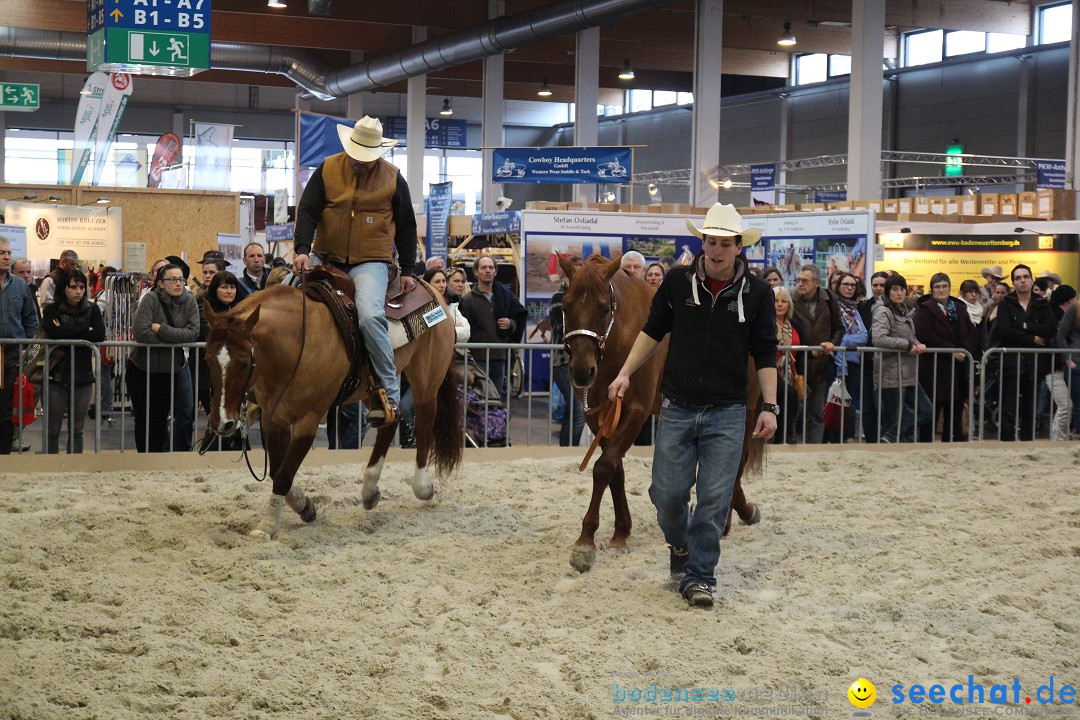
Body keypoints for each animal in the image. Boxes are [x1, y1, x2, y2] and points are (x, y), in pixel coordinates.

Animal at [204, 284, 462, 537]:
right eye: (207, 358)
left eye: (244, 362)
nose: (223, 422)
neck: (297, 344)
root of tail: (432, 289)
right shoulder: (273, 418)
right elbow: (278, 471)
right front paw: (305, 506)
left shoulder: (309, 421)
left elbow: (284, 475)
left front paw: (267, 525)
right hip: (371, 391)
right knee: (389, 424)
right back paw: (370, 489)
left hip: (426, 379)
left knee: (425, 423)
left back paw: (423, 488)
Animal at [561, 255, 764, 569]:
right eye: (565, 306)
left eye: (604, 308)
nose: (582, 371)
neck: (623, 338)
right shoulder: (598, 417)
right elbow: (615, 469)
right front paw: (621, 532)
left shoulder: (635, 410)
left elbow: (604, 467)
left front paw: (586, 541)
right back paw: (746, 510)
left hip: (748, 409)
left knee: (737, 461)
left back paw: (727, 520)